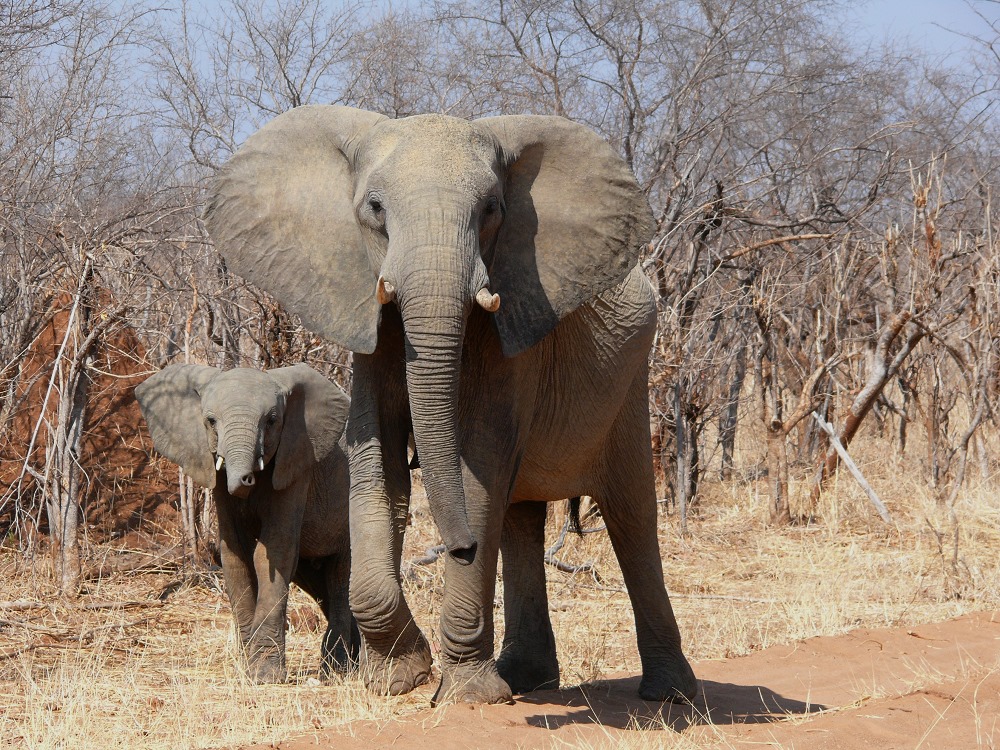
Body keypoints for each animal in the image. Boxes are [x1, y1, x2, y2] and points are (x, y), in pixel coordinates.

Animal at [135, 364, 358, 680]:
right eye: (210, 421)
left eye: (272, 421)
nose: (245, 479)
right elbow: (235, 553)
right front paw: (247, 668)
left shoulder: (296, 465)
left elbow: (272, 552)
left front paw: (264, 676)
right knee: (320, 584)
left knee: (340, 579)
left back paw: (336, 670)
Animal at [205, 104, 696, 704]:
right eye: (374, 209)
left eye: (491, 210)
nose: (459, 548)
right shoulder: (368, 324)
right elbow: (380, 463)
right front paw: (400, 678)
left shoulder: (514, 328)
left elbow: (477, 467)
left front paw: (467, 696)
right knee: (521, 519)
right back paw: (526, 679)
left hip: (631, 381)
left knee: (630, 516)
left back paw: (669, 696)